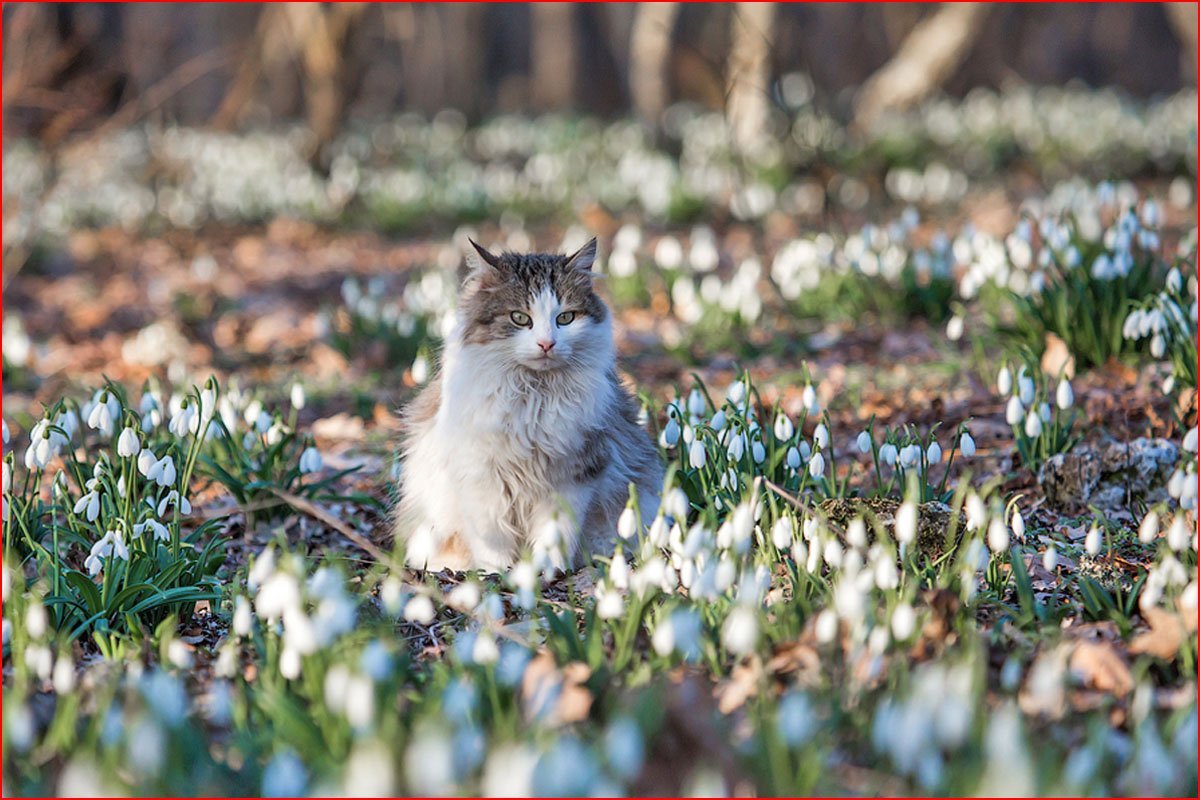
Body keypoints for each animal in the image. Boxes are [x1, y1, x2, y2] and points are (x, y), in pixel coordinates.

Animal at [393, 235, 662, 573]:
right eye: (520, 318)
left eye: (565, 318)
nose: (547, 344)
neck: (534, 396)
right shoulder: (481, 474)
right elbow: (491, 538)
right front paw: (495, 572)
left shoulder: (572, 474)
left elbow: (555, 533)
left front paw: (547, 570)